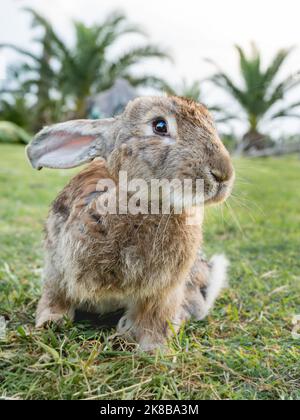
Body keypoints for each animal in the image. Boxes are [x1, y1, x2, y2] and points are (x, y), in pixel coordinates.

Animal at [26, 95, 234, 352]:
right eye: (159, 125)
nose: (223, 174)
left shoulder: (163, 291)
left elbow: (154, 320)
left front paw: (154, 349)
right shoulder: (57, 268)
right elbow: (55, 297)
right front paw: (50, 322)